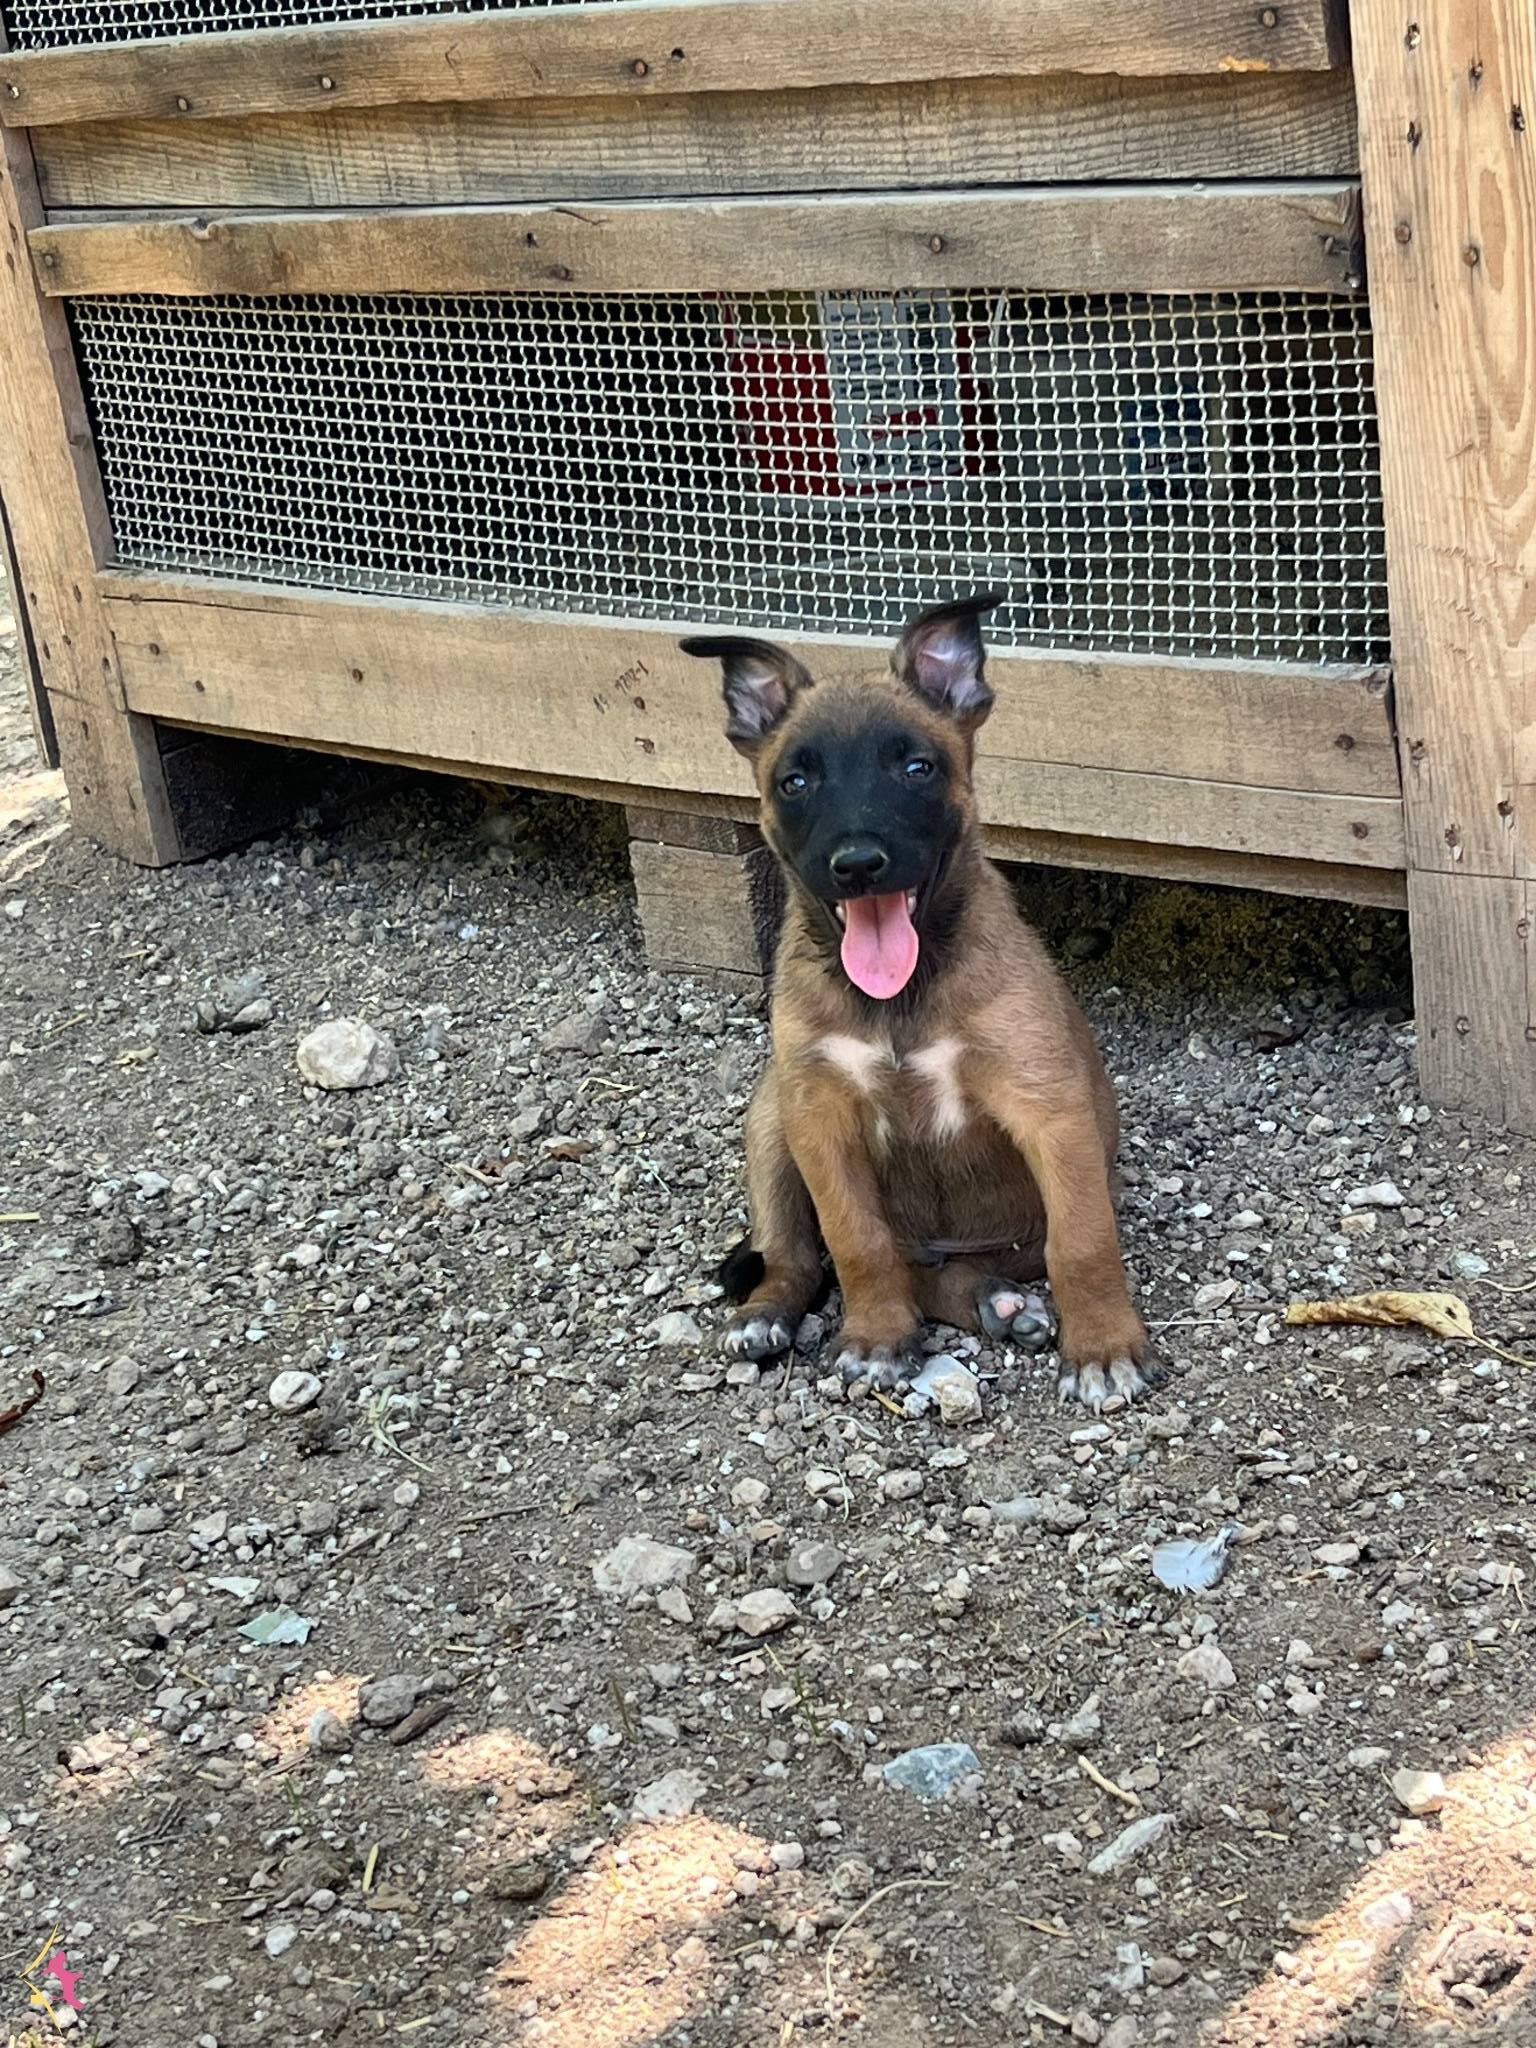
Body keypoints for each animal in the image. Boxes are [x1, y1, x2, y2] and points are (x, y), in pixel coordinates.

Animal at [681, 593, 1155, 1413]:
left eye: (916, 768)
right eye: (795, 783)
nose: (858, 864)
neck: (900, 997)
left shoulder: (1050, 1110)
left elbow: (1083, 1241)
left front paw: (1102, 1348)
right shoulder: (820, 1119)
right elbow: (856, 1242)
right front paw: (878, 1338)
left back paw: (1002, 1302)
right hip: (772, 1116)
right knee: (796, 1254)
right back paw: (771, 1313)